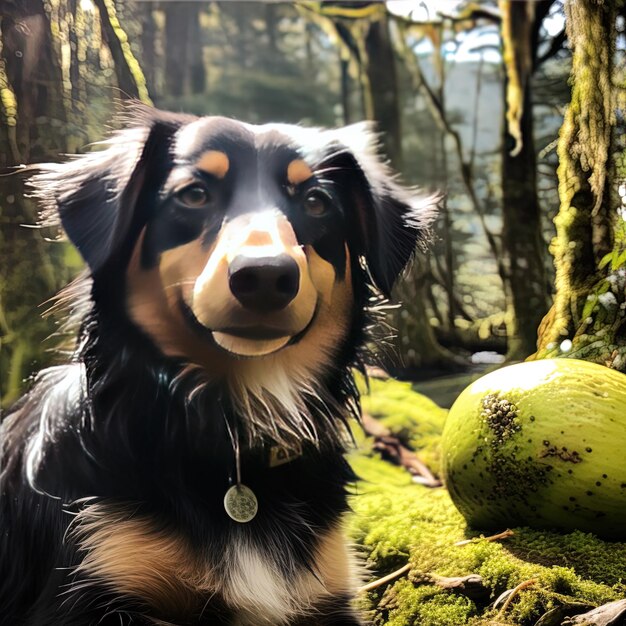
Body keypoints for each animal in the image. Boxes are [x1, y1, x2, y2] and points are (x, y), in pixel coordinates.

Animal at [1, 105, 434, 620]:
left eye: (316, 203)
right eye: (194, 194)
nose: (265, 276)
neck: (229, 442)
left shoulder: (326, 590)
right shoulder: (91, 579)